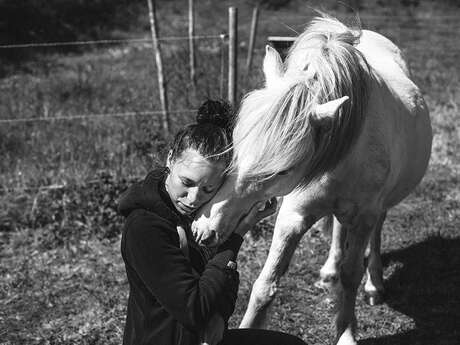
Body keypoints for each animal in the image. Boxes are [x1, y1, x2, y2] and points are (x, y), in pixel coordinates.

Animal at [190, 14, 432, 344]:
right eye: (235, 145)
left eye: (282, 170)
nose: (203, 228)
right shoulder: (293, 215)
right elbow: (266, 283)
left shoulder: (364, 216)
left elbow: (351, 276)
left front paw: (346, 331)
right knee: (338, 231)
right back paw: (330, 269)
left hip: (381, 207)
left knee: (376, 234)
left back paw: (374, 283)